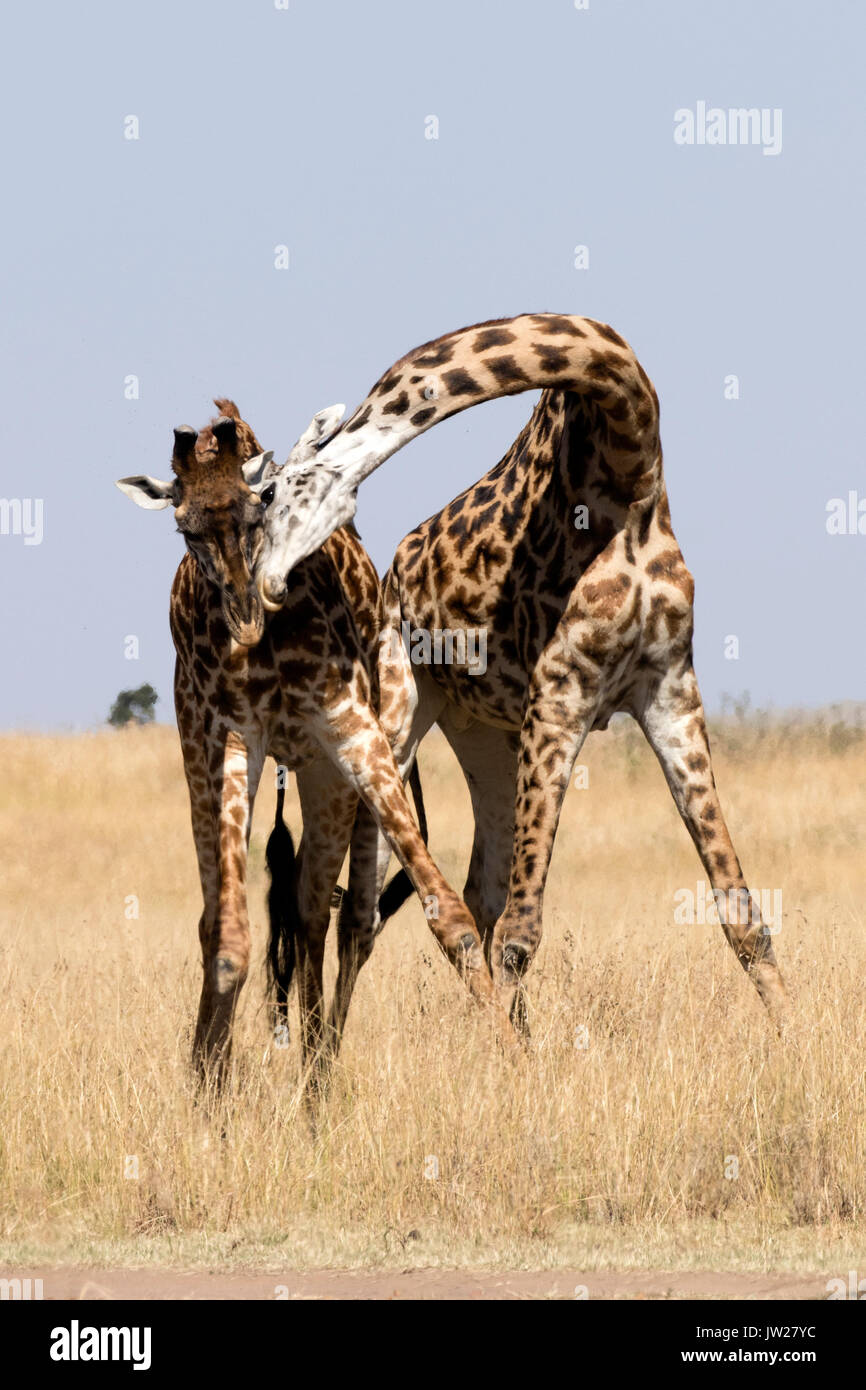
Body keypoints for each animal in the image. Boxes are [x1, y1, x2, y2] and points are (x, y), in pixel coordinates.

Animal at [117, 397, 517, 1078]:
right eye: (185, 529)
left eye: (258, 511)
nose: (246, 620)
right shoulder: (233, 737)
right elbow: (230, 936)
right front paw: (209, 1085)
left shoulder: (350, 729)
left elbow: (449, 914)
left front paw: (518, 1057)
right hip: (201, 751)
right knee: (223, 915)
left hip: (324, 774)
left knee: (309, 911)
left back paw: (315, 1067)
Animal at [254, 315, 789, 1034]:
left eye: (274, 492)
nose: (269, 586)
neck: (628, 471)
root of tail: (392, 579)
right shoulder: (561, 690)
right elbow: (520, 930)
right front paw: (513, 1057)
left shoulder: (670, 688)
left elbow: (741, 910)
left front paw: (795, 1040)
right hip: (399, 714)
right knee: (348, 901)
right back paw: (324, 1045)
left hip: (486, 738)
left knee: (470, 889)